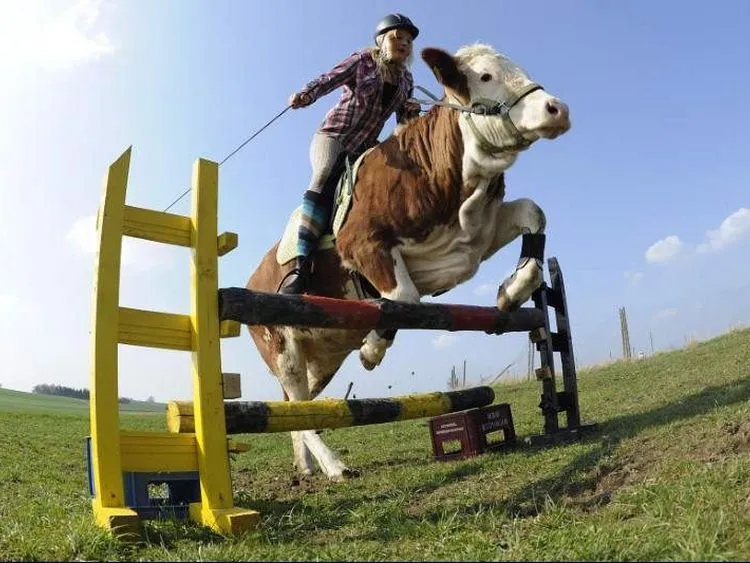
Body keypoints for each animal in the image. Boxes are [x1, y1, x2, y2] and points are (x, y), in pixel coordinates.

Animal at [245, 43, 568, 480]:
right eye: (485, 76)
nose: (557, 109)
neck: (437, 171)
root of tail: (251, 278)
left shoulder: (473, 237)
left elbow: (533, 214)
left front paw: (512, 291)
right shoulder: (362, 245)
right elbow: (403, 298)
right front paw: (371, 350)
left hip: (322, 357)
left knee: (296, 407)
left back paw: (306, 466)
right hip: (282, 348)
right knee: (298, 407)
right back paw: (334, 466)